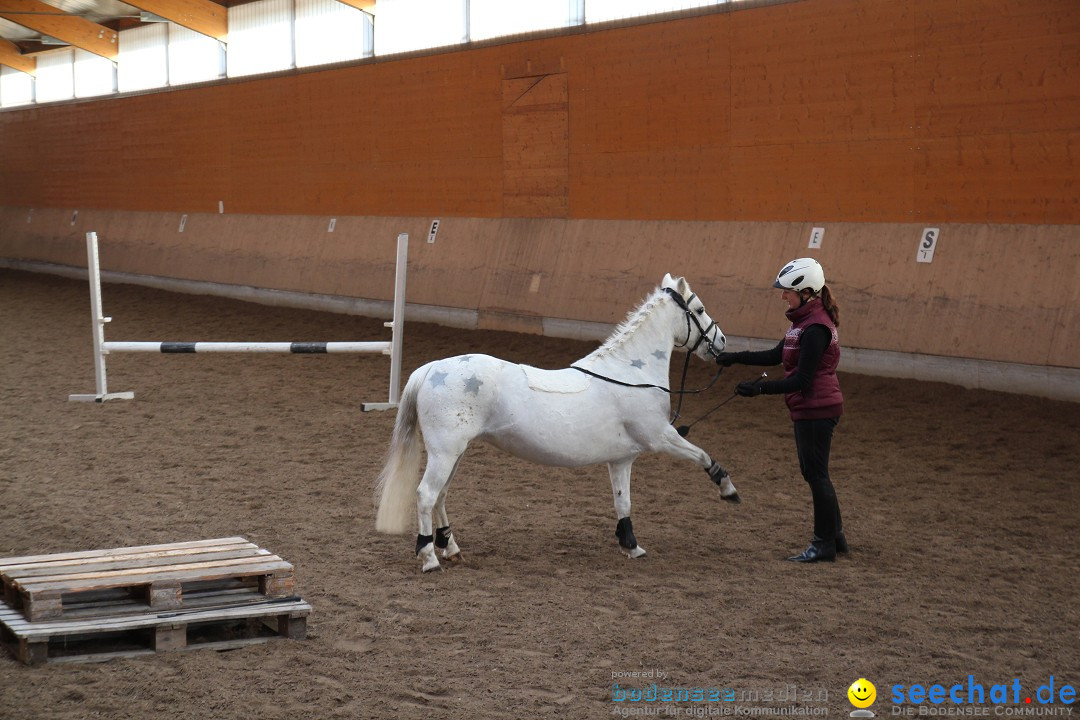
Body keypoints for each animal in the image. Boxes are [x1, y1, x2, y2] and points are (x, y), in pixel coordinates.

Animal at [375, 276, 738, 574]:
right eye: (700, 309)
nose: (721, 342)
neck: (630, 373)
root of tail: (432, 368)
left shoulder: (622, 458)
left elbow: (623, 501)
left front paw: (631, 545)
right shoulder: (659, 436)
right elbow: (702, 455)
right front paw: (728, 490)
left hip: (455, 453)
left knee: (441, 496)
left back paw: (450, 547)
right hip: (444, 452)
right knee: (426, 495)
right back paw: (429, 557)